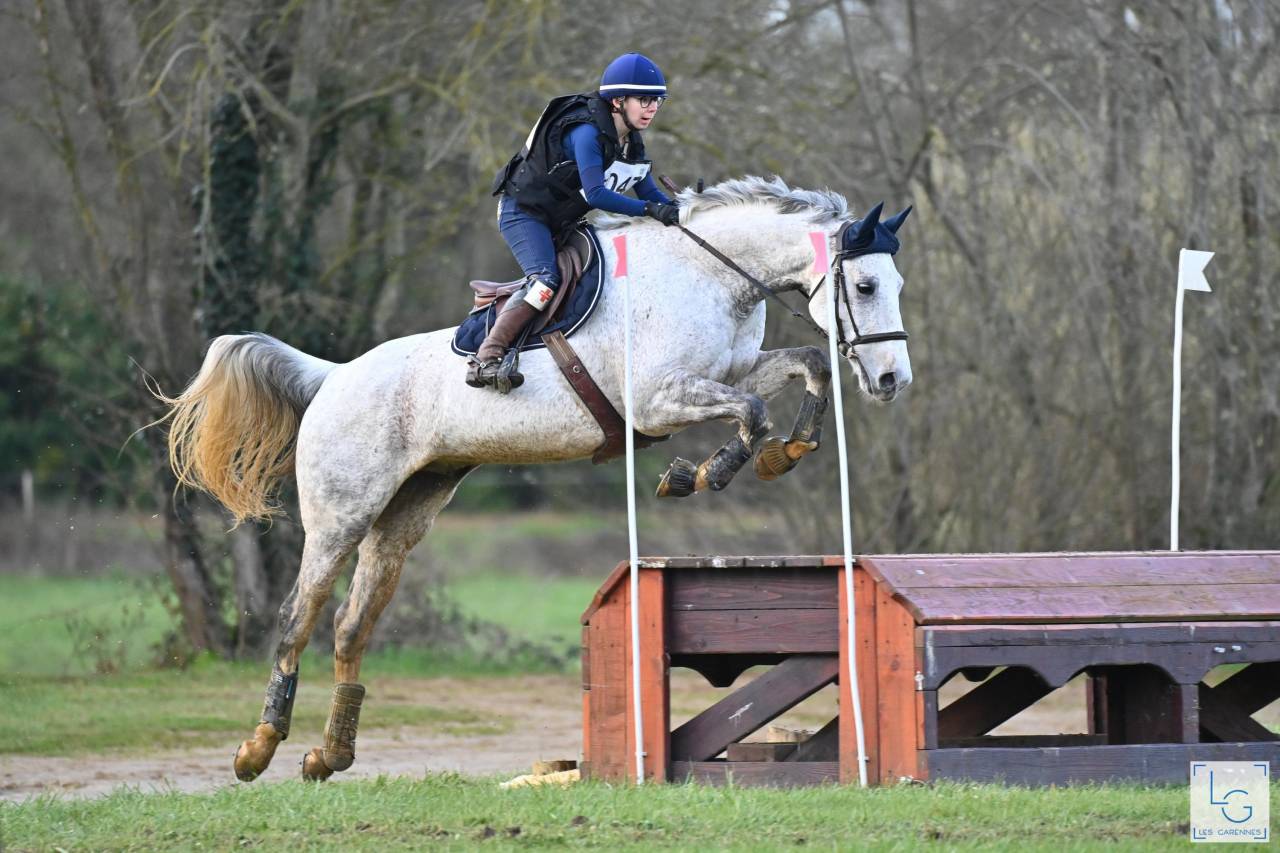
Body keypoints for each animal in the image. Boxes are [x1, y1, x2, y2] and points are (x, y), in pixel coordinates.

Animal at [160, 175, 913, 782]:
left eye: (894, 286)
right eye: (867, 286)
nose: (890, 381)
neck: (709, 275)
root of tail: (334, 376)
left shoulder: (727, 374)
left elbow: (805, 364)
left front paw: (783, 453)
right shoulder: (659, 401)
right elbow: (754, 411)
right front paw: (699, 473)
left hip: (405, 515)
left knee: (350, 626)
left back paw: (329, 755)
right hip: (342, 513)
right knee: (297, 617)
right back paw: (258, 749)